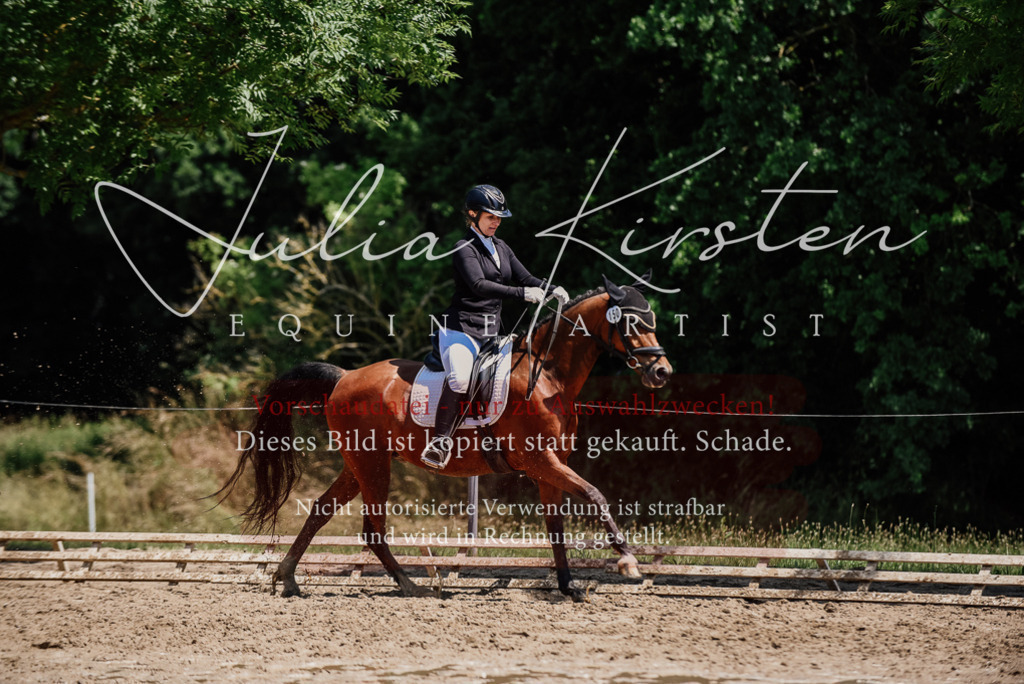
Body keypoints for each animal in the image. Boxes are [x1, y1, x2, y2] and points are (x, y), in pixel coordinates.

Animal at [217, 274, 673, 601]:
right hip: (372, 463)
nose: (662, 372)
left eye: (652, 320)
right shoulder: (541, 461)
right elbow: (596, 495)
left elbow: (556, 526)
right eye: (632, 322)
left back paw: (290, 578)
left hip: (359, 464)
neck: (548, 376)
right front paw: (628, 562)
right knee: (372, 527)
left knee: (322, 510)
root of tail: (344, 377)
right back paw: (409, 585)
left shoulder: (550, 468)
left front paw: (568, 586)